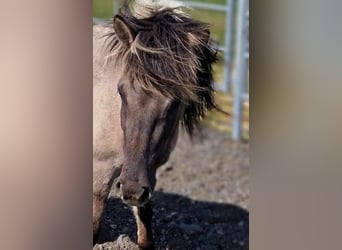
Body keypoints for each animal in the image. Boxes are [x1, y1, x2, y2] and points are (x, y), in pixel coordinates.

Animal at [92, 1, 218, 248]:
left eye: (175, 102)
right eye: (121, 91)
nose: (131, 191)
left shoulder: (145, 174)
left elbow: (145, 229)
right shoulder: (101, 172)